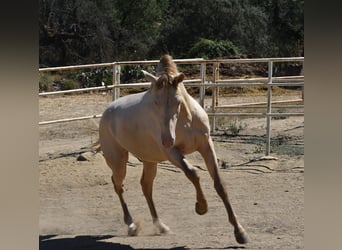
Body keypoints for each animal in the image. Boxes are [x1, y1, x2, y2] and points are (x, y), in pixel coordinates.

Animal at [97, 54, 247, 244]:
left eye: (177, 101)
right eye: (155, 102)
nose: (167, 140)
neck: (186, 121)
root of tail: (107, 112)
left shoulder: (206, 145)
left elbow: (219, 184)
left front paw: (240, 232)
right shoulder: (172, 153)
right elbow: (193, 172)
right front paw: (201, 207)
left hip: (150, 160)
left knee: (145, 186)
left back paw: (161, 226)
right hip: (118, 160)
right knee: (118, 184)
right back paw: (131, 225)